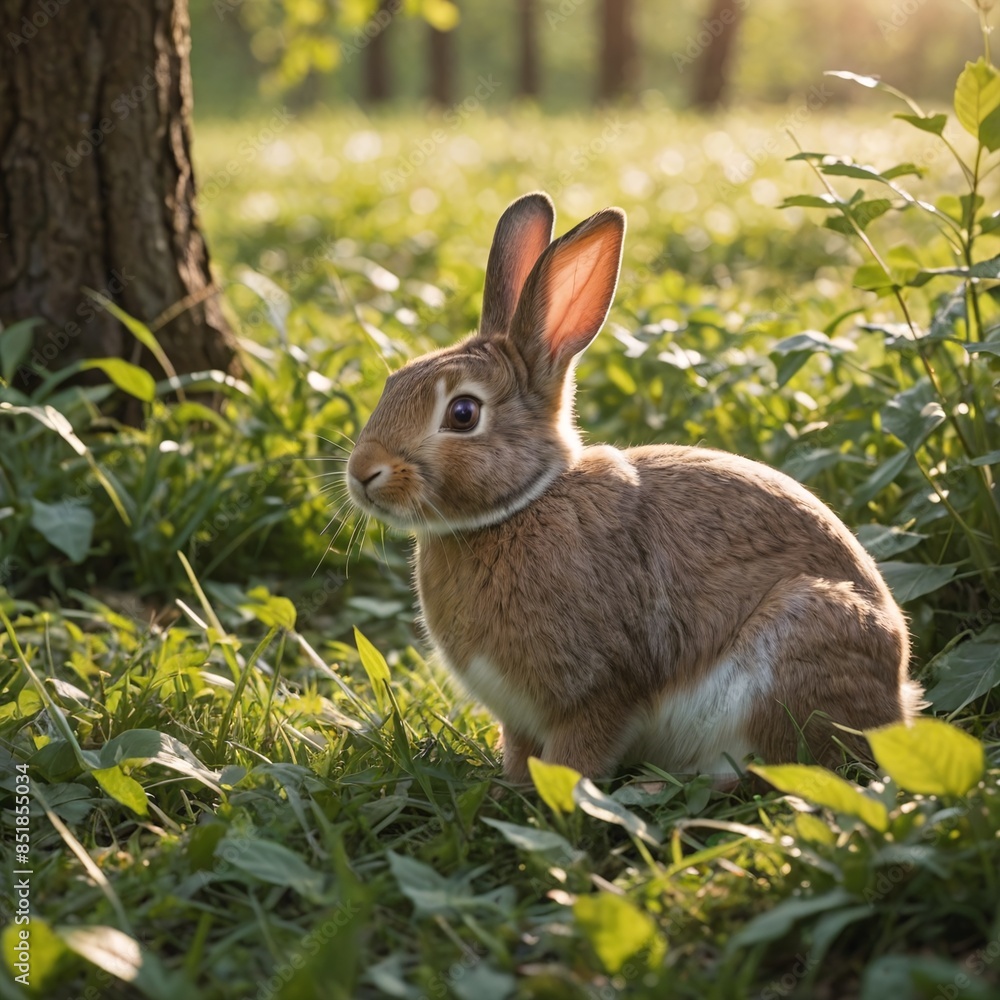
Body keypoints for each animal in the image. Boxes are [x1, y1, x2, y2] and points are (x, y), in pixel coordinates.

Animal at [346, 191, 923, 784]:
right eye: (393, 383)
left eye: (462, 413)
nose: (362, 472)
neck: (519, 507)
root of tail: (897, 699)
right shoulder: (519, 717)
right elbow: (521, 754)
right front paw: (510, 787)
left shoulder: (600, 689)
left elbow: (576, 757)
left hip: (798, 641)